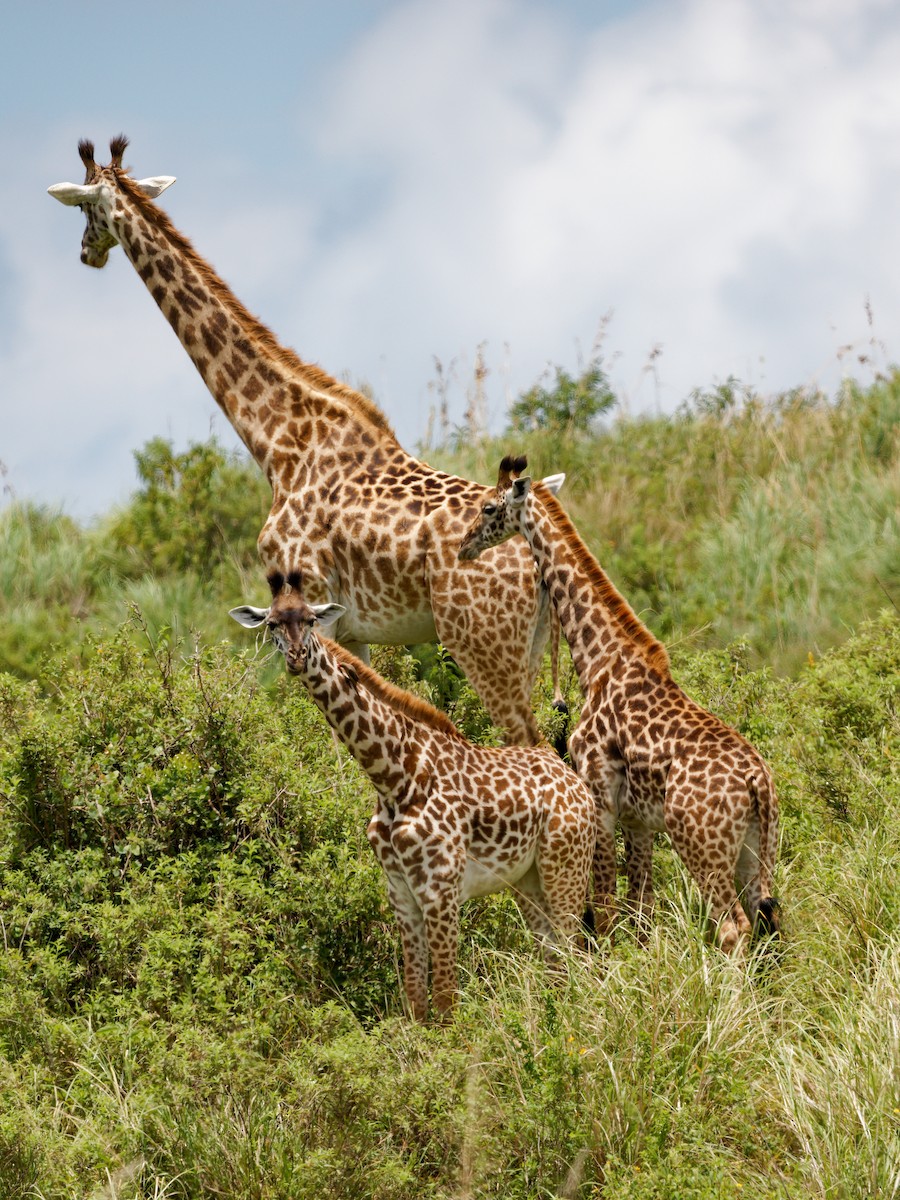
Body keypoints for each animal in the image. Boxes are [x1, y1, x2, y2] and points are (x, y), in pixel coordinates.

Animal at [48, 134, 559, 744]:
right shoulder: (351, 625)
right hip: (533, 647)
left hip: (482, 642)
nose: (86, 253)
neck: (276, 442)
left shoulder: (309, 598)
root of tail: (538, 557)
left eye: (82, 209)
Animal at [229, 571, 596, 1020]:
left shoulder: (441, 890)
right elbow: (417, 1000)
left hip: (565, 867)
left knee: (576, 954)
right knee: (554, 957)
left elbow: (446, 999)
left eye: (311, 620)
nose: (297, 657)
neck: (393, 777)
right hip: (527, 880)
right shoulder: (401, 894)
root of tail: (573, 776)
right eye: (272, 625)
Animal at [458, 456, 781, 954]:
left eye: (489, 507)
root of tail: (756, 781)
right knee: (770, 920)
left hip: (700, 844)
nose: (463, 545)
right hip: (755, 848)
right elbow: (641, 911)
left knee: (734, 927)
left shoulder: (600, 797)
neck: (597, 658)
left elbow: (607, 909)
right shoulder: (639, 820)